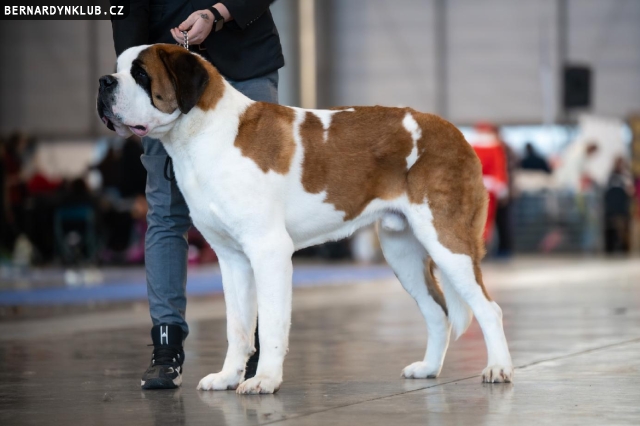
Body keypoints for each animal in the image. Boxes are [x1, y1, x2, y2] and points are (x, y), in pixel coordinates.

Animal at [97, 44, 513, 394]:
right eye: (118, 67)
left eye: (141, 74)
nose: (103, 81)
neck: (203, 134)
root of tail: (456, 132)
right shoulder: (232, 259)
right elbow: (239, 326)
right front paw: (229, 376)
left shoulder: (269, 250)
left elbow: (271, 323)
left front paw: (264, 379)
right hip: (403, 253)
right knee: (438, 311)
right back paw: (427, 368)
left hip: (447, 241)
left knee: (489, 309)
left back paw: (498, 369)